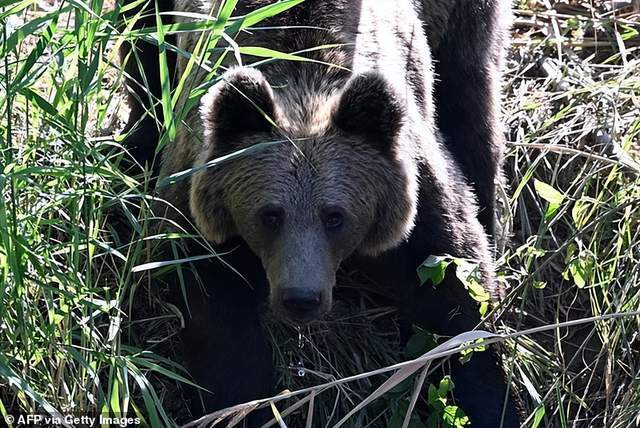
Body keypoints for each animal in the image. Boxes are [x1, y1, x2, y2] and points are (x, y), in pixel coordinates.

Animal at [119, 0, 518, 426]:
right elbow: (218, 317)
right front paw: (246, 406)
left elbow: (453, 288)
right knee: (143, 54)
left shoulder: (414, 200)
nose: (301, 298)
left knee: (470, 99)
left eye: (335, 216)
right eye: (270, 215)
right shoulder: (199, 214)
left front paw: (489, 401)